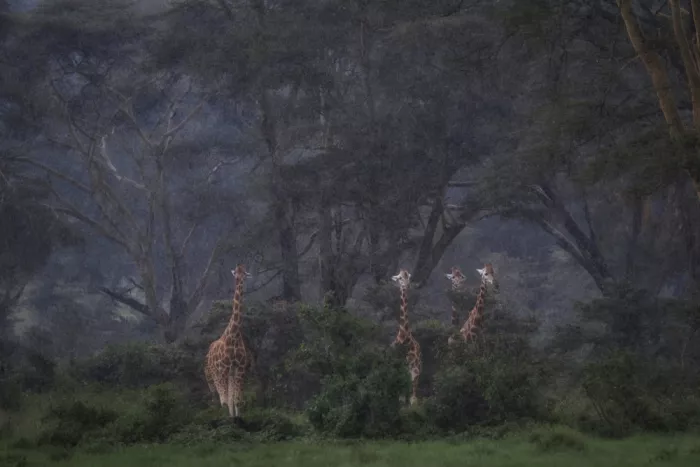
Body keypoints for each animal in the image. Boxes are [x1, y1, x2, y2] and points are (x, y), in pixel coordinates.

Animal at [204, 264, 252, 418]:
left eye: (244, 273)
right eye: (235, 274)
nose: (239, 280)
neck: (234, 336)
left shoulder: (239, 368)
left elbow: (236, 400)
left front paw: (238, 419)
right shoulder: (223, 369)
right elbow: (225, 401)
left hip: (228, 374)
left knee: (228, 398)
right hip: (213, 374)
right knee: (218, 398)